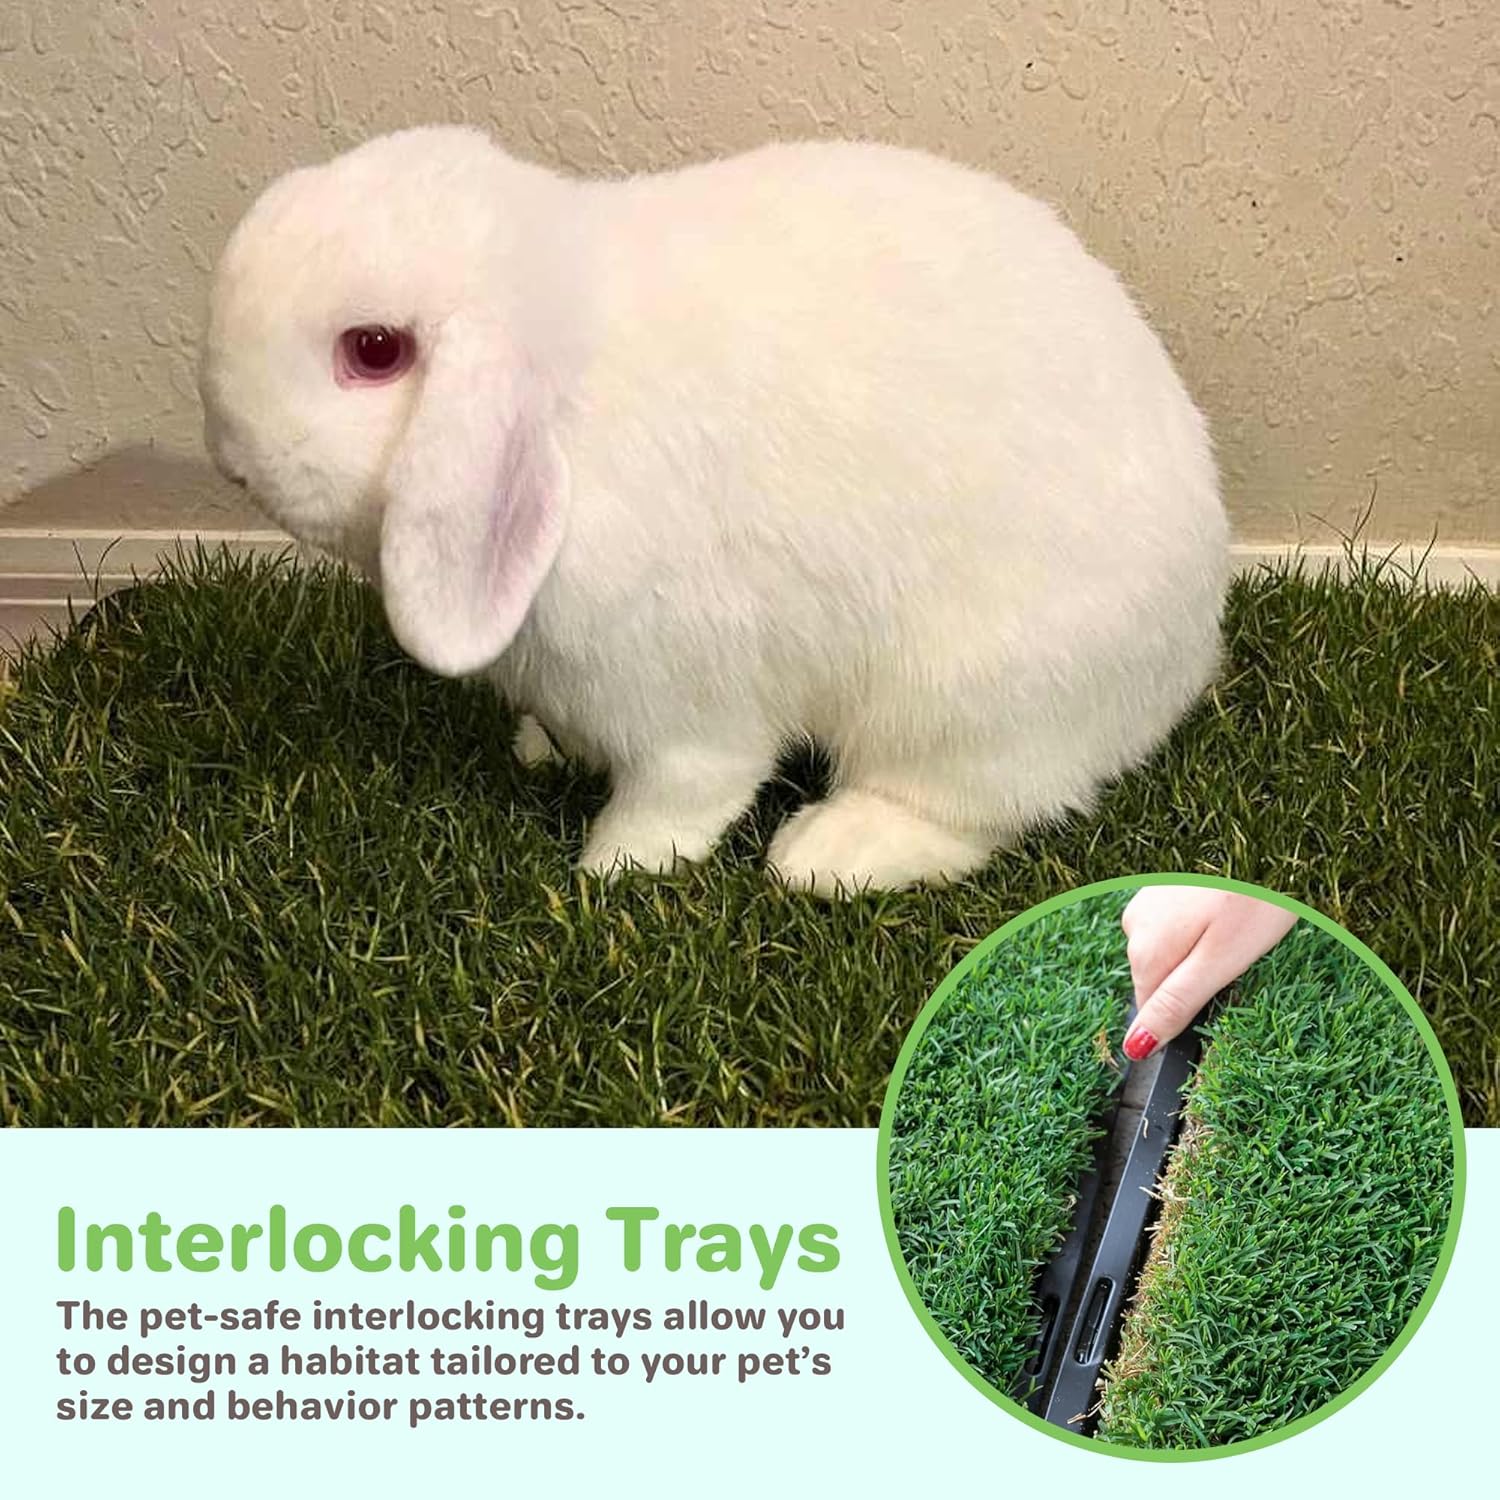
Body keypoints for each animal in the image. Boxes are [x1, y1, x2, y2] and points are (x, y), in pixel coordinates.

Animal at [199, 125, 1228, 897]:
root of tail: (1187, 654)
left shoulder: (685, 700)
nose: (231, 455)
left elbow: (688, 788)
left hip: (969, 701)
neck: (565, 402)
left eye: (373, 350)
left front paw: (614, 869)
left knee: (976, 808)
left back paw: (829, 854)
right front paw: (543, 750)